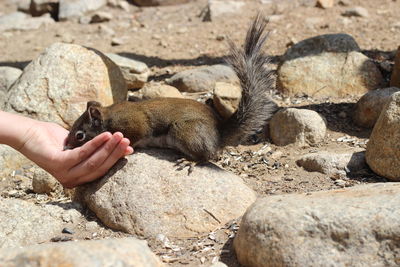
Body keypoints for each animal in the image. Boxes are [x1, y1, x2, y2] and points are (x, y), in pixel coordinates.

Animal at [65, 15, 278, 165]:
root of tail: (219, 133)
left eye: (80, 135)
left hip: (184, 130)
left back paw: (191, 161)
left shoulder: (133, 123)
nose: (66, 146)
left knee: (207, 155)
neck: (109, 117)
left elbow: (136, 135)